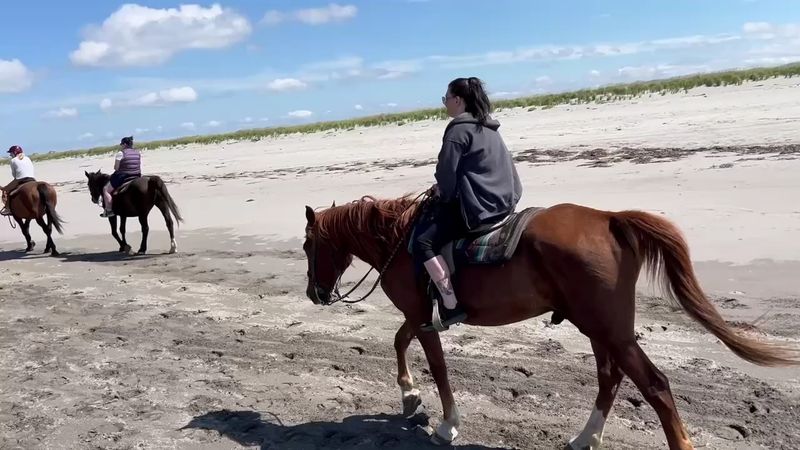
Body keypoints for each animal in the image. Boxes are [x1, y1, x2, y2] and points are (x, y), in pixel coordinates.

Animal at [301, 194, 799, 450]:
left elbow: (436, 365)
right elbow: (399, 341)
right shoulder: (421, 315)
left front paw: (447, 423)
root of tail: (611, 218)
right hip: (599, 329)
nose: (314, 293)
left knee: (655, 385)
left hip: (609, 329)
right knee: (610, 377)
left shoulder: (422, 316)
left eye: (308, 246)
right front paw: (408, 396)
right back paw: (586, 438)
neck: (399, 240)